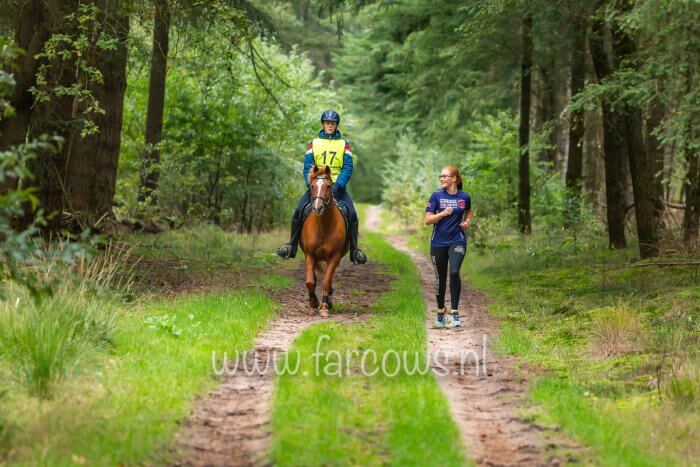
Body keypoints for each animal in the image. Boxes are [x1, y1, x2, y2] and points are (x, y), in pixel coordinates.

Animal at [300, 165, 348, 318]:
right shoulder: (309, 255)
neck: (323, 226)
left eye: (328, 186)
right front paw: (313, 304)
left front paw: (324, 307)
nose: (318, 208)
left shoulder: (334, 257)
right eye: (312, 186)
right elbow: (310, 282)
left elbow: (327, 282)